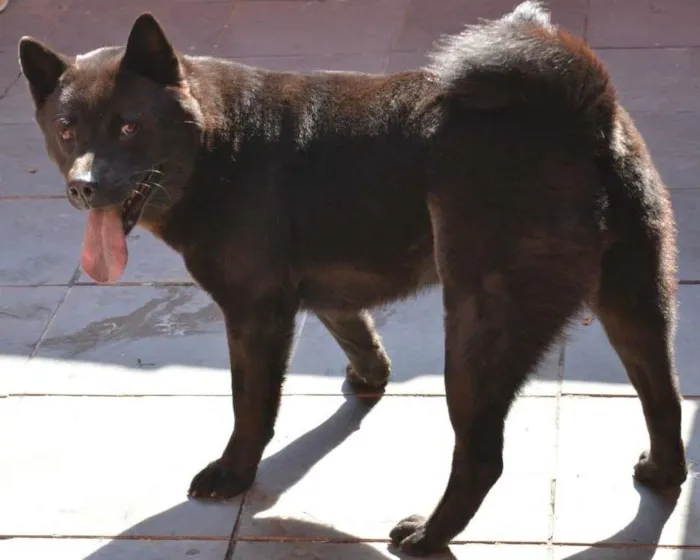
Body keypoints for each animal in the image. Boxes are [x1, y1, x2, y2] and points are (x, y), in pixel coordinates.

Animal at [17, 3, 688, 556]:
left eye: (128, 127)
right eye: (68, 129)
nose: (83, 186)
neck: (216, 141)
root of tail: (582, 110)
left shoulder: (255, 315)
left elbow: (250, 405)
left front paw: (233, 473)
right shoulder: (325, 295)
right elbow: (358, 336)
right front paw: (369, 379)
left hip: (479, 333)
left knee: (481, 458)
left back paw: (427, 535)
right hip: (636, 301)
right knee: (665, 398)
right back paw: (663, 472)